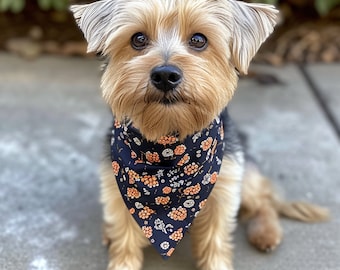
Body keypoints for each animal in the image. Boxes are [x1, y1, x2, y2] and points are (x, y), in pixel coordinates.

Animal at [69, 1, 330, 268]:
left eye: (198, 40)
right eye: (138, 39)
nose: (165, 75)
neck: (168, 145)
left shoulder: (224, 187)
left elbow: (215, 239)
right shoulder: (116, 190)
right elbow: (124, 238)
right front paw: (122, 258)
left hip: (245, 175)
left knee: (263, 202)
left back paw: (266, 233)